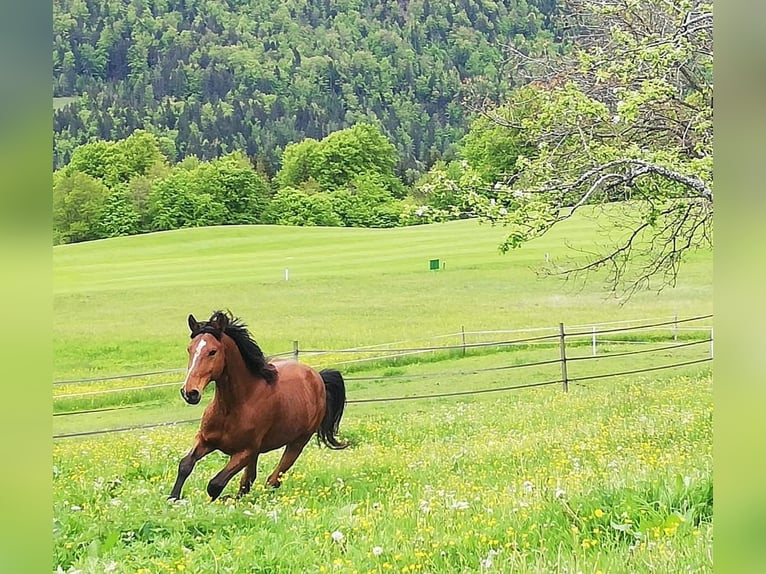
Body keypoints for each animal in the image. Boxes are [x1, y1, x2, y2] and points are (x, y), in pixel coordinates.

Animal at [168, 310, 348, 501]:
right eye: (189, 349)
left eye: (212, 351)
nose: (190, 392)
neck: (232, 407)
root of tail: (317, 377)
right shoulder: (205, 440)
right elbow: (185, 465)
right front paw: (173, 498)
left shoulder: (245, 451)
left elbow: (215, 485)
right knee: (250, 480)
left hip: (297, 442)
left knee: (272, 480)